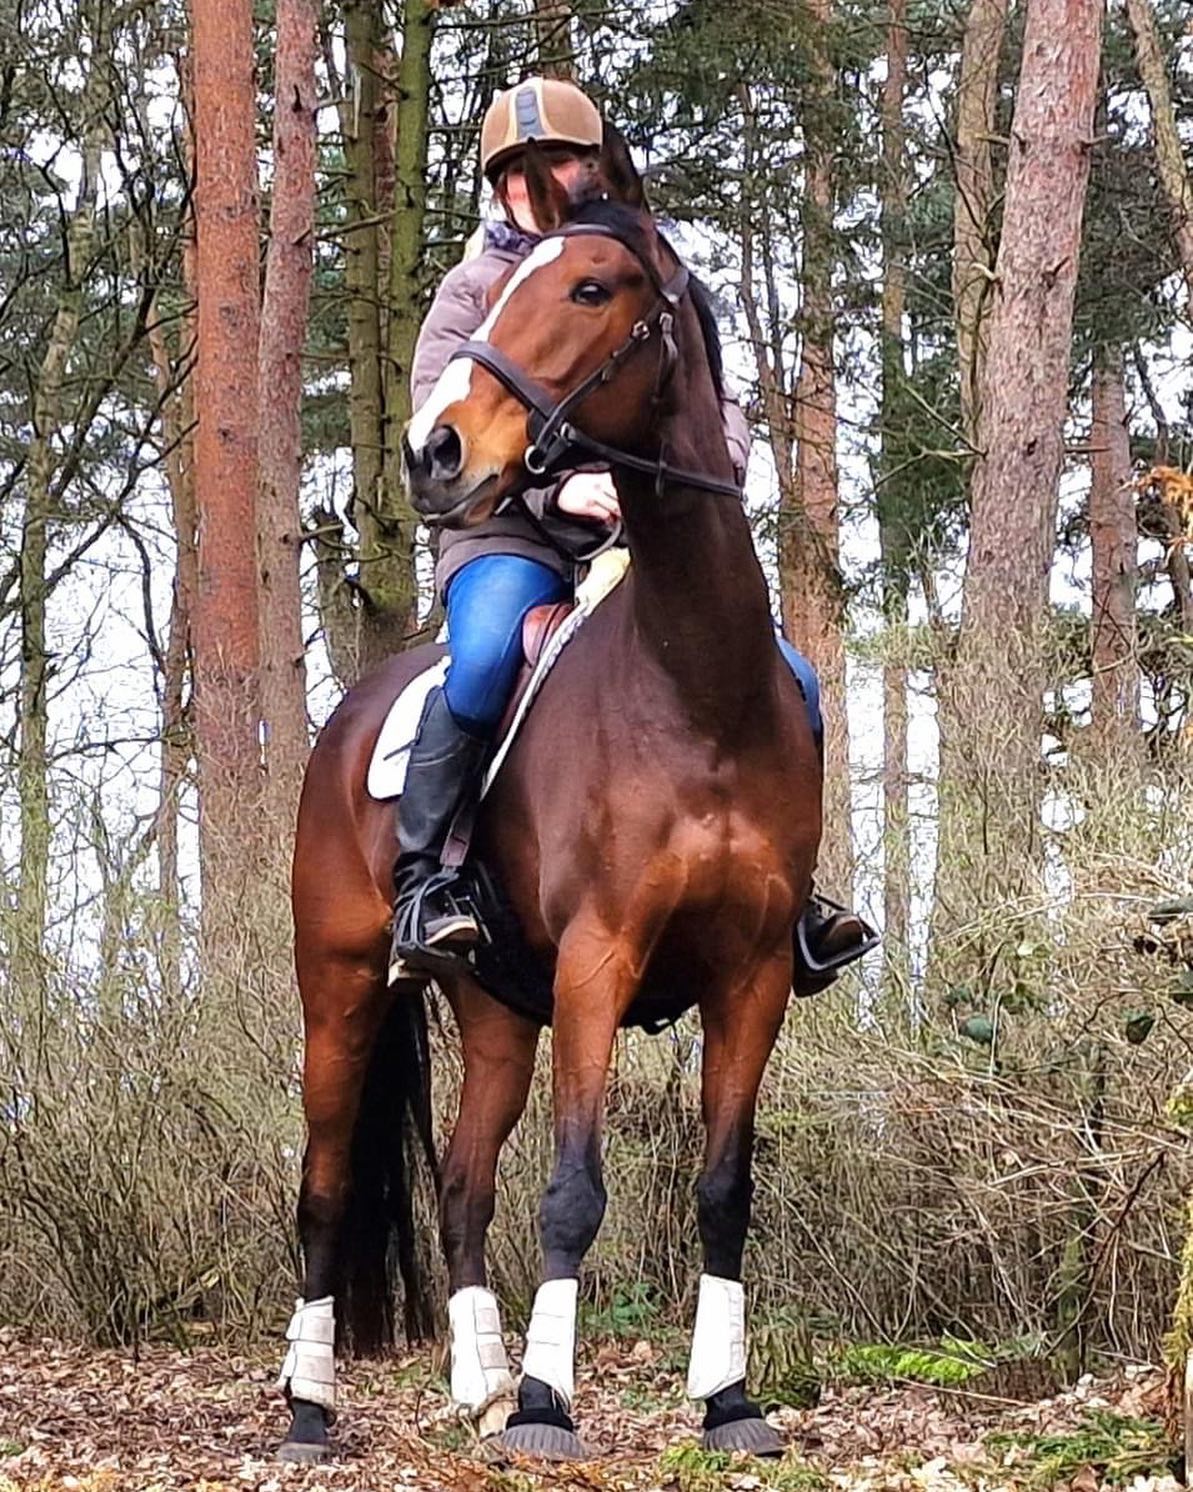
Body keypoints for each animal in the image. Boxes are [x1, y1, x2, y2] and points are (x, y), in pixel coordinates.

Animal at [277, 132, 822, 1464]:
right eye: (498, 293)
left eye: (587, 289)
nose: (434, 453)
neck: (696, 689)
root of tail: (351, 715)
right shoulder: (598, 960)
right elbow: (572, 1189)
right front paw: (543, 1403)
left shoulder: (751, 974)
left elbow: (723, 1189)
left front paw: (726, 1400)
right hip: (341, 992)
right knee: (324, 1188)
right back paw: (312, 1403)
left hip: (493, 1012)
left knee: (462, 1179)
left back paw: (471, 1380)